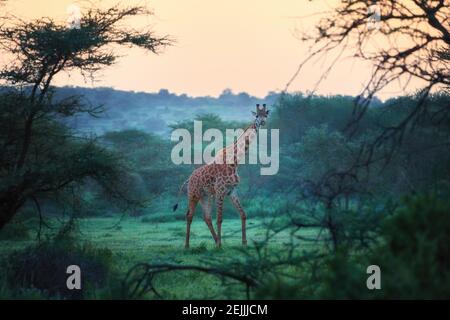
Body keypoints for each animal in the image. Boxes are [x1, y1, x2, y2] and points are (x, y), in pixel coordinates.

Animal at [174, 104, 268, 249]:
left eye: (266, 115)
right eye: (257, 115)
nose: (261, 122)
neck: (234, 162)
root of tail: (189, 179)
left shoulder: (232, 191)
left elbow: (243, 214)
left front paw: (244, 243)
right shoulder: (220, 191)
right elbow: (219, 219)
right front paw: (220, 245)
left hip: (205, 196)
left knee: (206, 217)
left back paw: (215, 240)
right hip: (193, 194)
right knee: (189, 215)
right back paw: (187, 245)